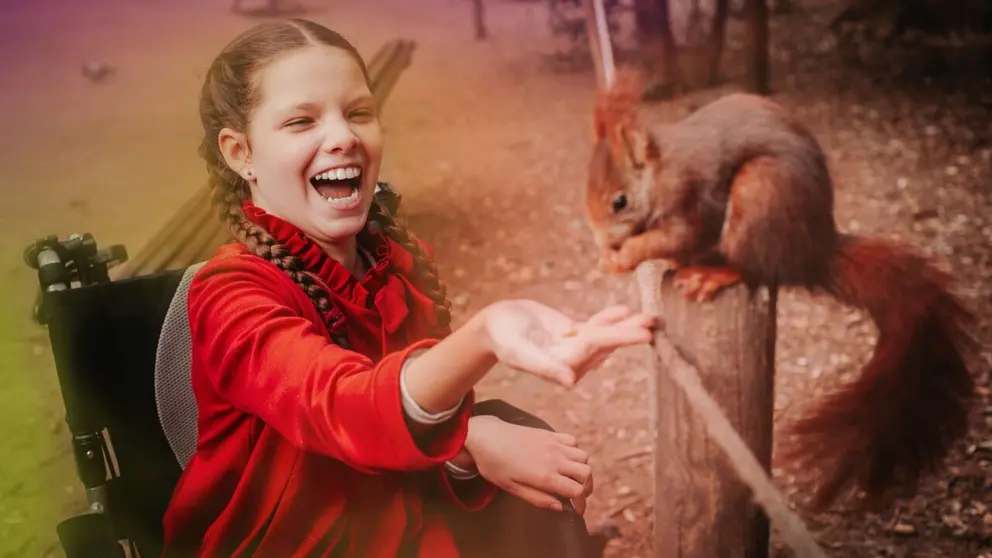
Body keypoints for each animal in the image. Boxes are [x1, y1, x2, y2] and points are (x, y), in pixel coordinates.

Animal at [585, 67, 976, 510]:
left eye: (619, 201)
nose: (602, 241)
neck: (662, 170)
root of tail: (815, 250)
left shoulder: (692, 199)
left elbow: (677, 236)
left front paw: (625, 255)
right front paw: (609, 256)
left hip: (760, 195)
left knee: (754, 268)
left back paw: (711, 273)